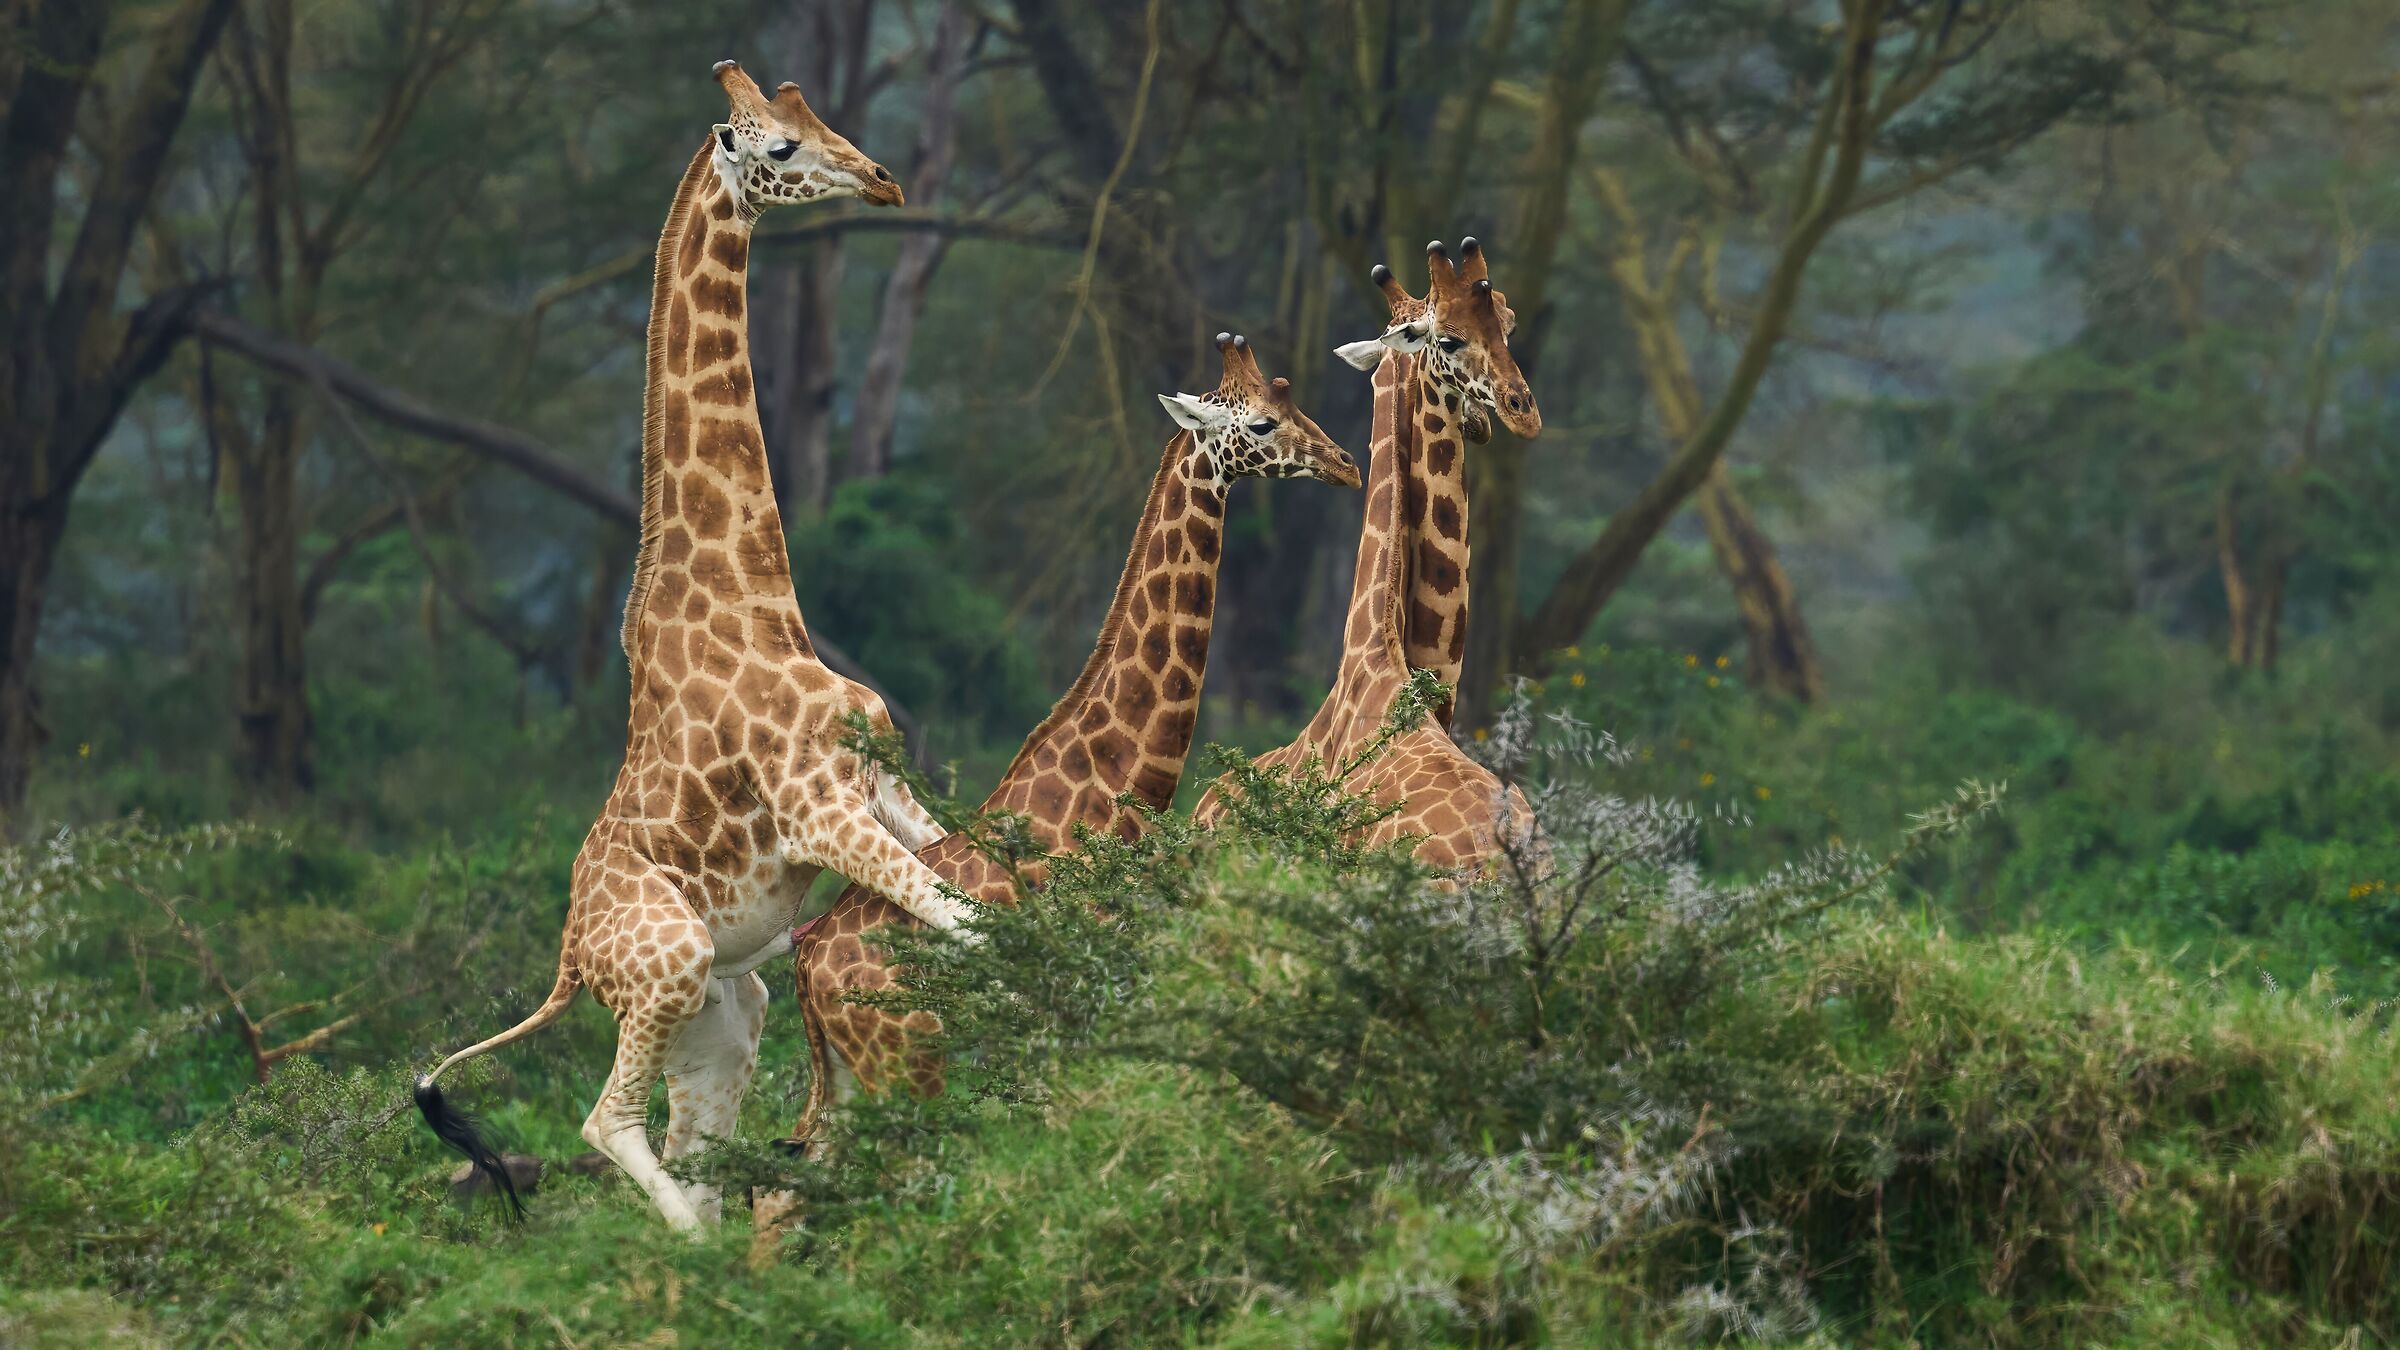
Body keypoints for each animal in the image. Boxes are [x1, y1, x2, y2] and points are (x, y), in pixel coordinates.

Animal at [413, 61, 970, 1233]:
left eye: (820, 118)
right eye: (779, 146)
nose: (884, 179)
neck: (756, 598)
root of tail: (570, 961)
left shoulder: (881, 785)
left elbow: (978, 896)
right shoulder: (818, 807)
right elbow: (963, 921)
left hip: (724, 1005)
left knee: (695, 1145)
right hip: (667, 963)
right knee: (605, 1125)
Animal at [747, 335, 1356, 1244]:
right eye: (1259, 423)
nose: (1345, 462)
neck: (1113, 787)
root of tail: (810, 959)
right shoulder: (1082, 1002)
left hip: (858, 1075)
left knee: (783, 1199)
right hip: (907, 1063)